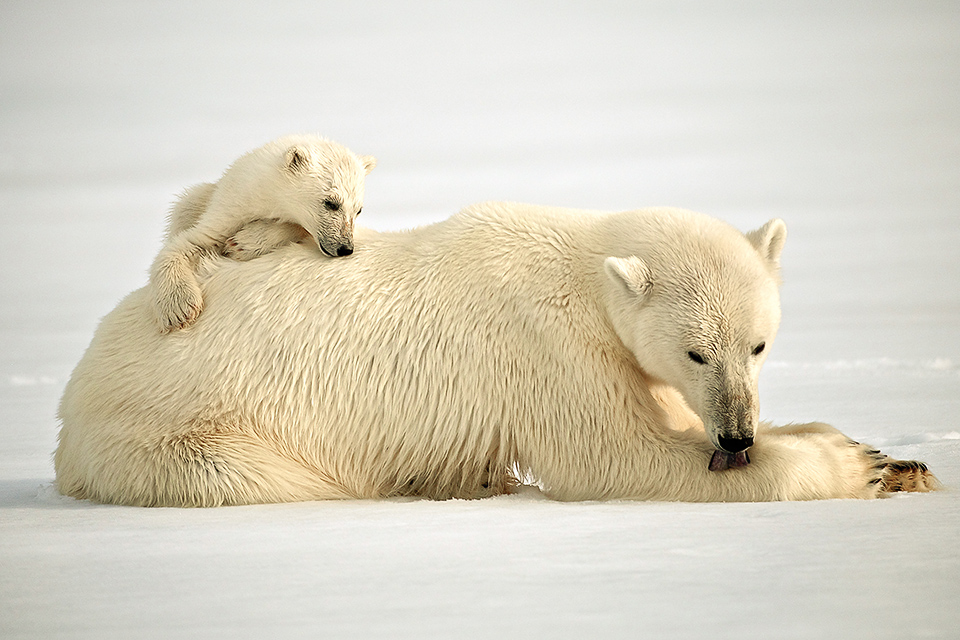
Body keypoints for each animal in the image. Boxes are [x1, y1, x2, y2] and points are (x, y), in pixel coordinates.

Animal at [54, 202, 936, 508]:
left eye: (758, 343)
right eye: (694, 351)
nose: (737, 435)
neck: (579, 266)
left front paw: (894, 458)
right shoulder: (550, 350)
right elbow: (623, 457)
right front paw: (850, 468)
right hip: (173, 432)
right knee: (267, 477)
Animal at [150, 136, 376, 336]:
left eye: (358, 210)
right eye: (330, 203)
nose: (345, 248)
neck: (267, 197)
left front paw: (242, 243)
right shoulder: (229, 209)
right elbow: (189, 243)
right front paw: (179, 309)